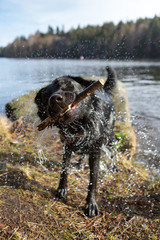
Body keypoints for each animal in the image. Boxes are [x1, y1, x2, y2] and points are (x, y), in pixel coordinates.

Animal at [35, 66, 116, 218]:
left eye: (67, 85)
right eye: (46, 96)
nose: (54, 99)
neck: (78, 124)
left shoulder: (95, 151)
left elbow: (93, 180)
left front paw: (91, 204)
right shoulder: (67, 146)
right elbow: (64, 169)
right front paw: (61, 189)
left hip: (110, 136)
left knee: (113, 151)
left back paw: (114, 167)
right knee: (83, 153)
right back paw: (79, 164)